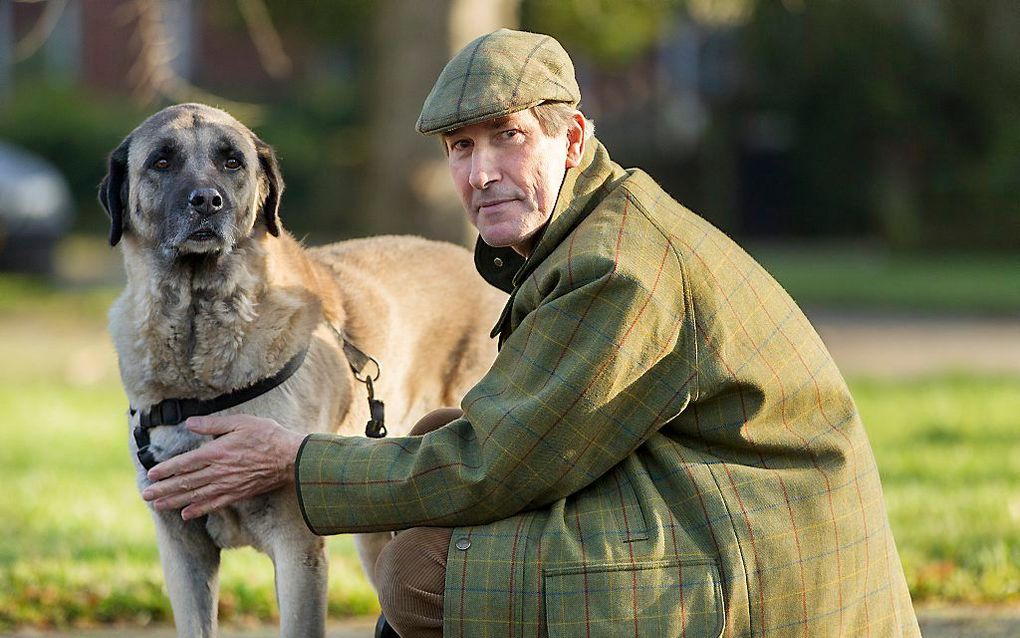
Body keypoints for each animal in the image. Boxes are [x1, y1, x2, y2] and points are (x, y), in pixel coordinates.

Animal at [99, 104, 505, 636]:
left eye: (232, 161)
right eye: (161, 161)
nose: (206, 201)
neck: (198, 332)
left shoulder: (297, 548)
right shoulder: (181, 548)